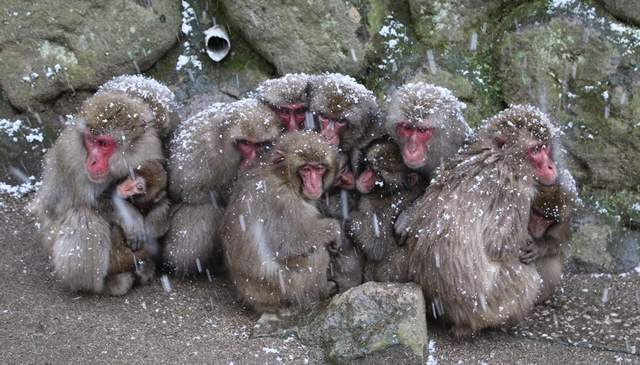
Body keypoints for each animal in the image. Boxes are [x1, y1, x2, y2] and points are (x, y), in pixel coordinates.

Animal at [30, 89, 165, 294]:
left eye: (103, 144)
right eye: (90, 140)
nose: (92, 161)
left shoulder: (148, 152)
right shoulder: (70, 159)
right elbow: (73, 205)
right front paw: (130, 217)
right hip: (50, 241)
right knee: (82, 216)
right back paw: (103, 285)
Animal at [164, 98, 284, 274]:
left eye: (261, 145)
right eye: (245, 143)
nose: (252, 159)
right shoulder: (201, 150)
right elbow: (185, 191)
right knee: (206, 208)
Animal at [219, 131, 342, 312]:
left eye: (319, 168)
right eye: (305, 169)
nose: (314, 184)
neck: (281, 176)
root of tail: (250, 298)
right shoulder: (283, 202)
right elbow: (289, 244)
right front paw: (334, 229)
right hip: (283, 286)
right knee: (317, 254)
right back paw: (321, 291)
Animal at [344, 136, 424, 282]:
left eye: (377, 175)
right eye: (369, 167)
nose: (364, 180)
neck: (391, 191)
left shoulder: (384, 208)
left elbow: (375, 247)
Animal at [398, 104, 564, 336]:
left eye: (545, 147)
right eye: (534, 150)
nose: (550, 166)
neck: (499, 157)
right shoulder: (512, 190)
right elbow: (499, 246)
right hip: (496, 301)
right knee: (527, 279)